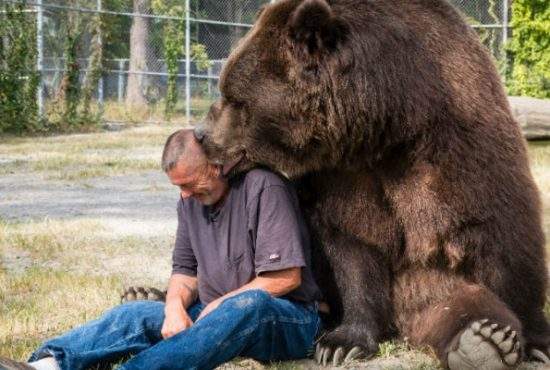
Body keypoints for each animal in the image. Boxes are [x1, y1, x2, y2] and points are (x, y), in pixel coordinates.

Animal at [191, 0, 550, 368]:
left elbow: (500, 242)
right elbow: (353, 249)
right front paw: (342, 343)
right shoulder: (343, 178)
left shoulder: (457, 151)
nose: (202, 135)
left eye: (236, 98)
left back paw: (484, 340)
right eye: (225, 88)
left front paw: (533, 339)